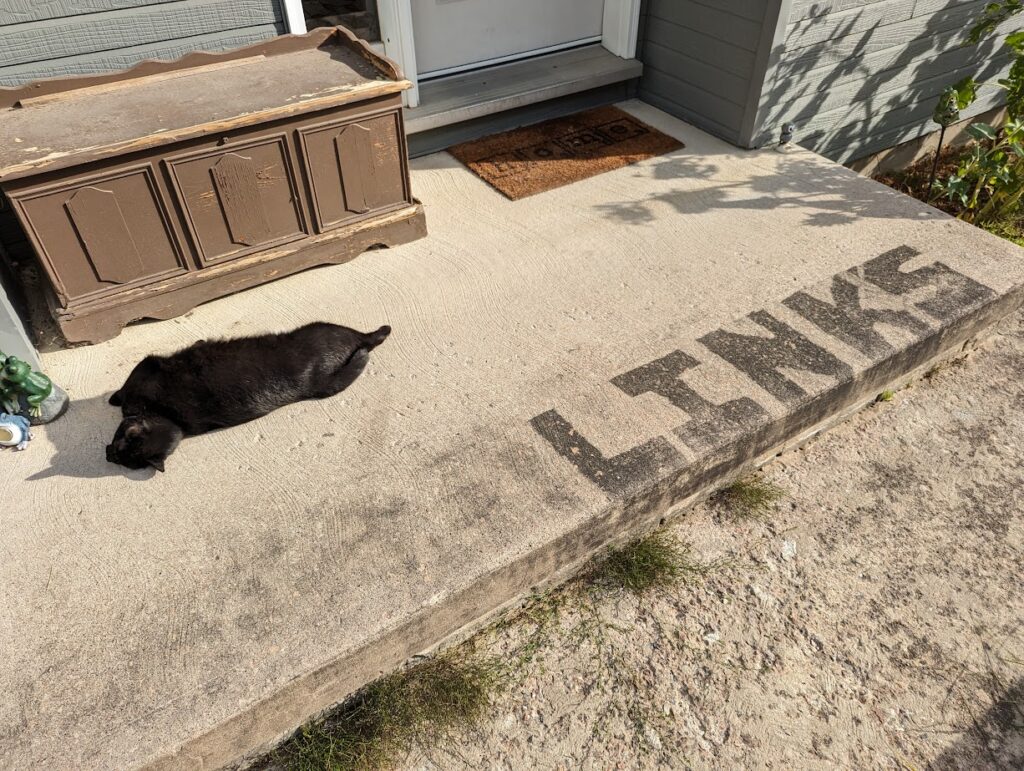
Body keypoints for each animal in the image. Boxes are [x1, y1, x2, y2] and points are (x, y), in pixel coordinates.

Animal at [105, 322, 390, 472]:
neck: (168, 416)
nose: (108, 455)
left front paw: (113, 398)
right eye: (120, 459)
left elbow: (122, 389)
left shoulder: (144, 368)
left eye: (118, 447)